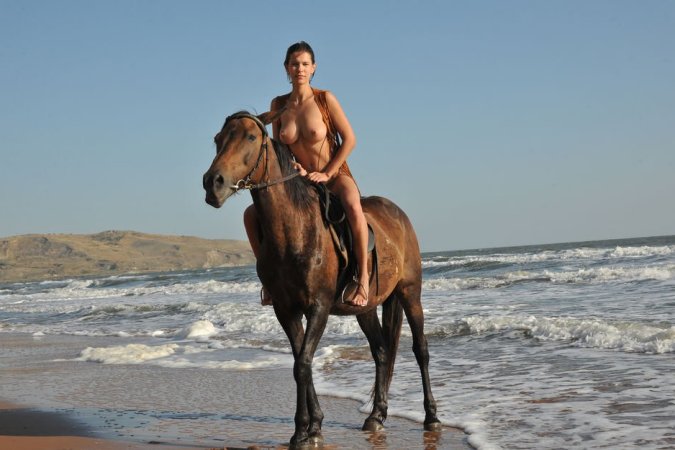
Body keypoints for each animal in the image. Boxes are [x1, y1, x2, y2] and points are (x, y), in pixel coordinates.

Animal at [202, 111, 441, 447]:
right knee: (382, 352)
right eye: (217, 139)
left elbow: (303, 363)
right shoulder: (285, 309)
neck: (294, 231)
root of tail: (398, 214)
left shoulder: (319, 306)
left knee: (421, 351)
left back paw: (431, 416)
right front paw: (310, 426)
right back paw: (376, 416)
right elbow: (299, 362)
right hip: (365, 307)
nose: (213, 183)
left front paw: (306, 429)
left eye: (250, 137)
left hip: (410, 292)